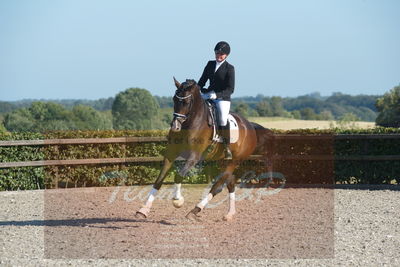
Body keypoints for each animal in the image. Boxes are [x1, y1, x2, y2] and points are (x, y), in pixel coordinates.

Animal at [136, 77, 264, 222]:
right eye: (174, 99)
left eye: (186, 102)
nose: (175, 126)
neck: (190, 122)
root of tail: (249, 125)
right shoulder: (171, 154)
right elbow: (159, 180)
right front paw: (143, 210)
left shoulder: (194, 157)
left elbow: (179, 175)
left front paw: (178, 200)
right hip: (222, 161)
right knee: (230, 183)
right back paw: (229, 213)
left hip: (235, 161)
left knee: (217, 186)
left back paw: (195, 210)